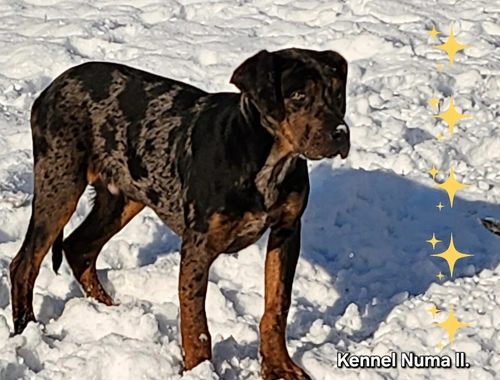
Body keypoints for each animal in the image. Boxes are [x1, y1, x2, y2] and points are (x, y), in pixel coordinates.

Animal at [9, 48, 350, 380]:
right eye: (298, 95)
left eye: (338, 94)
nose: (340, 133)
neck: (266, 159)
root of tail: (51, 88)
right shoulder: (199, 244)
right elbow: (195, 321)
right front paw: (200, 370)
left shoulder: (287, 230)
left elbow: (277, 306)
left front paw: (278, 367)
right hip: (60, 181)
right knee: (25, 262)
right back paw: (27, 329)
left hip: (124, 195)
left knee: (78, 247)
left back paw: (110, 312)